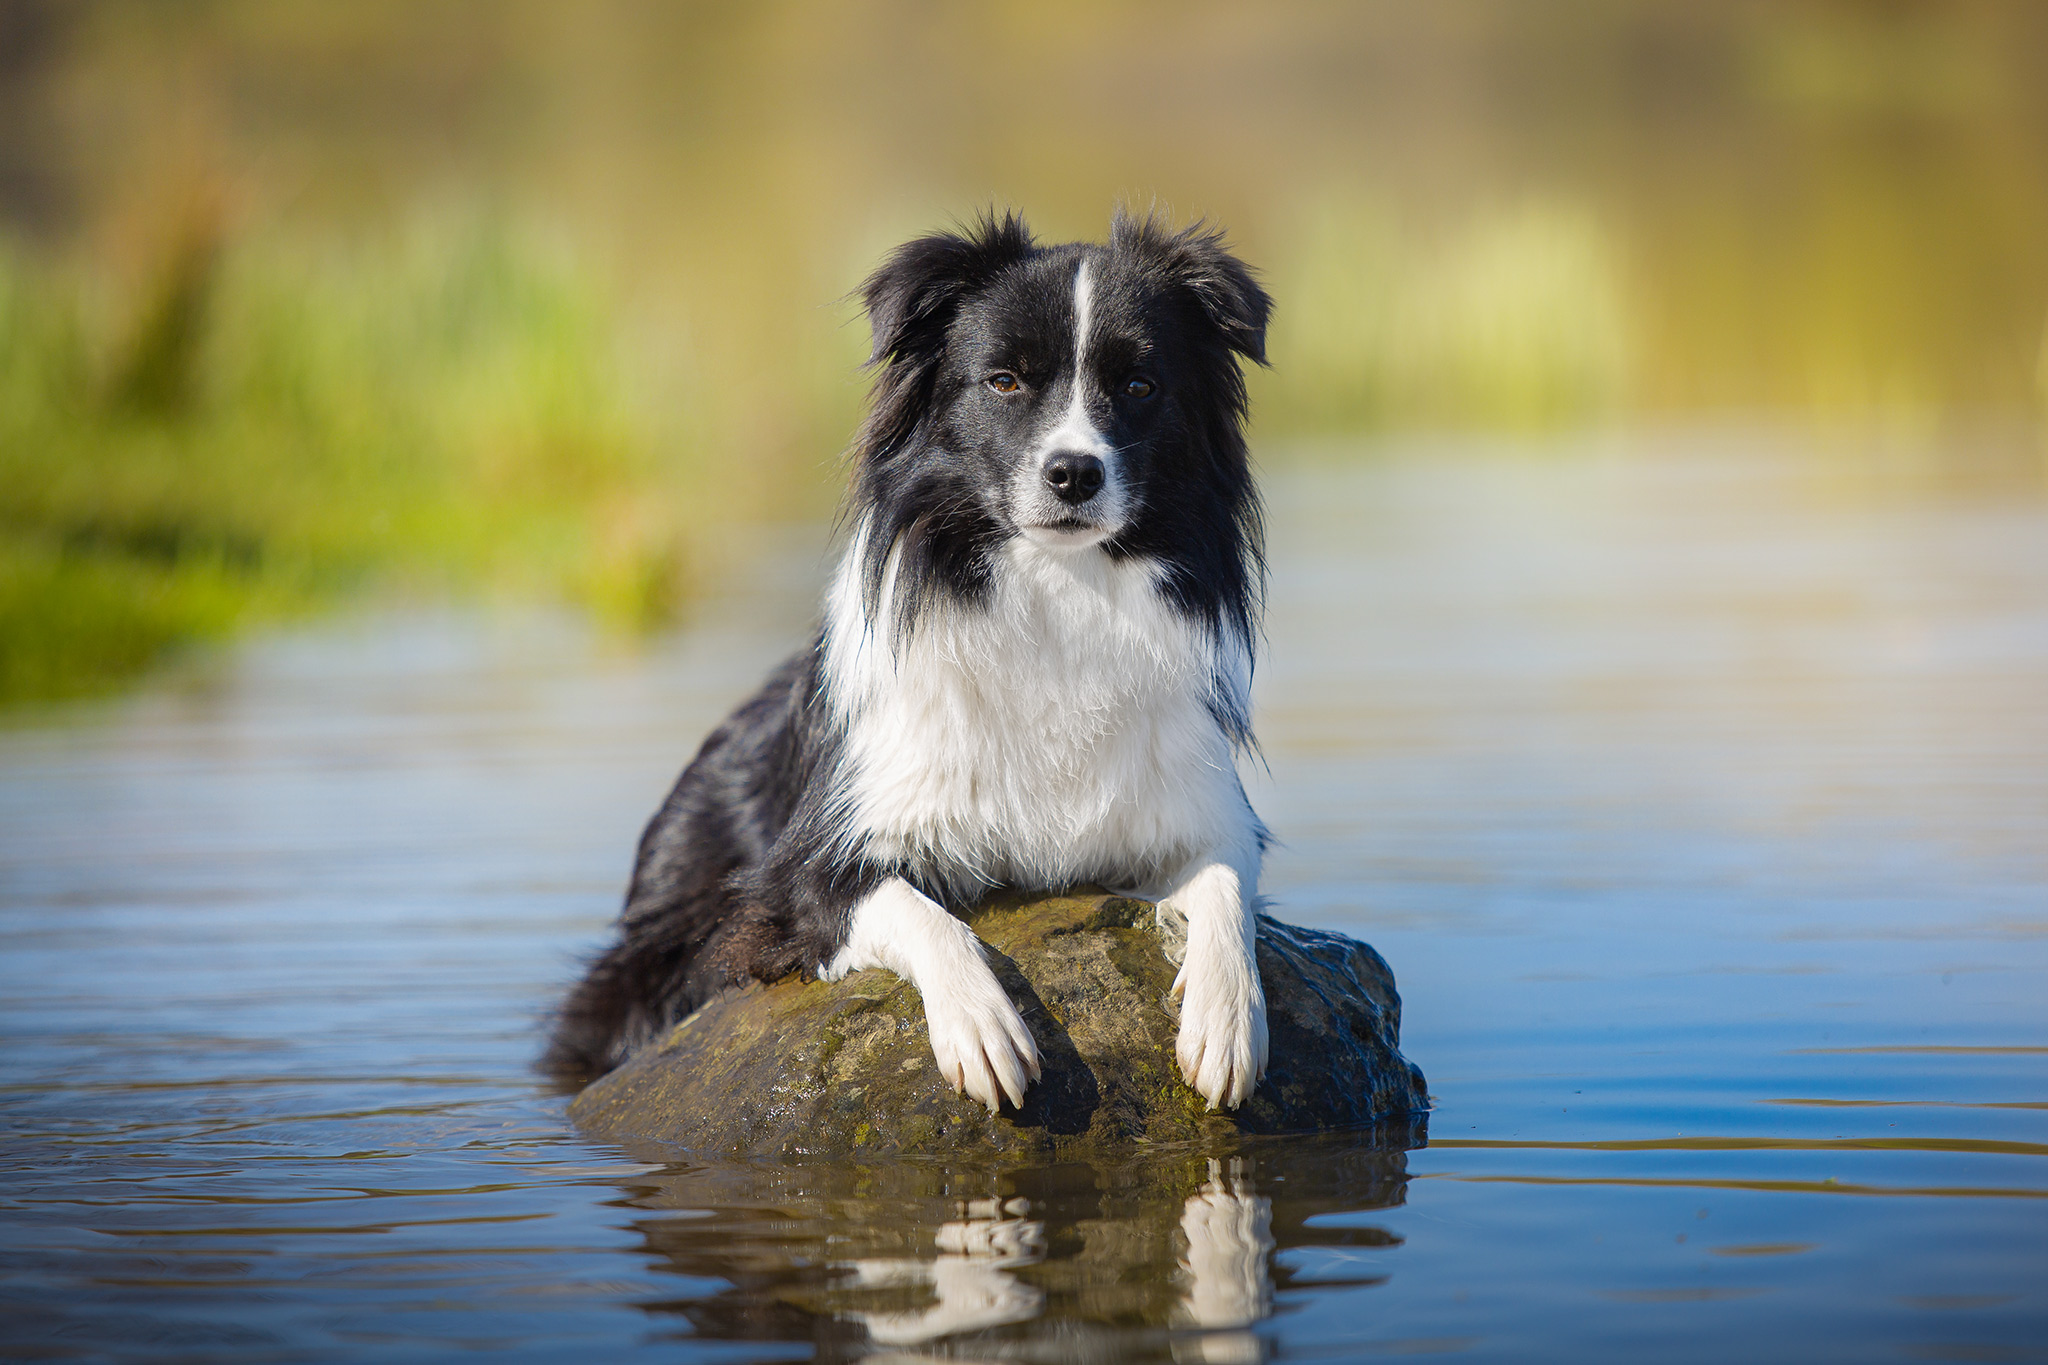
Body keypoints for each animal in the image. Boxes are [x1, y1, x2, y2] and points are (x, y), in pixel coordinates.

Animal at [552, 208, 1269, 1113]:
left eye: (1140, 386)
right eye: (1004, 382)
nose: (1073, 473)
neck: (1055, 590)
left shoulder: (1196, 808)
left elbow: (1226, 885)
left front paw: (1228, 1015)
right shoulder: (796, 878)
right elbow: (919, 909)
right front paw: (980, 1023)